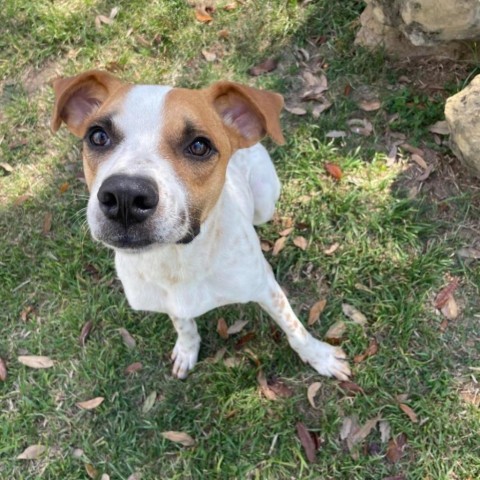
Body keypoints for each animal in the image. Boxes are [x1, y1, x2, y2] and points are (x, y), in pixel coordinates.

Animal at [50, 71, 350, 380]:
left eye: (199, 146)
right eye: (98, 136)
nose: (125, 197)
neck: (178, 260)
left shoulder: (266, 289)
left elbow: (293, 327)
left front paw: (320, 357)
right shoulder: (171, 303)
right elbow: (183, 324)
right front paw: (187, 349)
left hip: (265, 203)